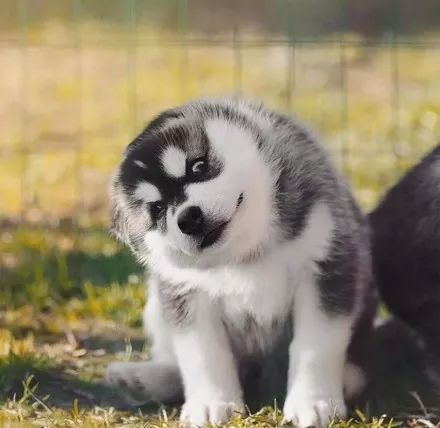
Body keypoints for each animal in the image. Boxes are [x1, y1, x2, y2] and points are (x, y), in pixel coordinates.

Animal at [104, 99, 374, 424]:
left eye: (198, 166)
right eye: (156, 209)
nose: (188, 218)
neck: (246, 252)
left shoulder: (326, 264)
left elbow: (316, 344)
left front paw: (314, 402)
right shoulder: (184, 292)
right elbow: (202, 353)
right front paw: (210, 403)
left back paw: (348, 380)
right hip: (156, 306)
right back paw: (140, 378)